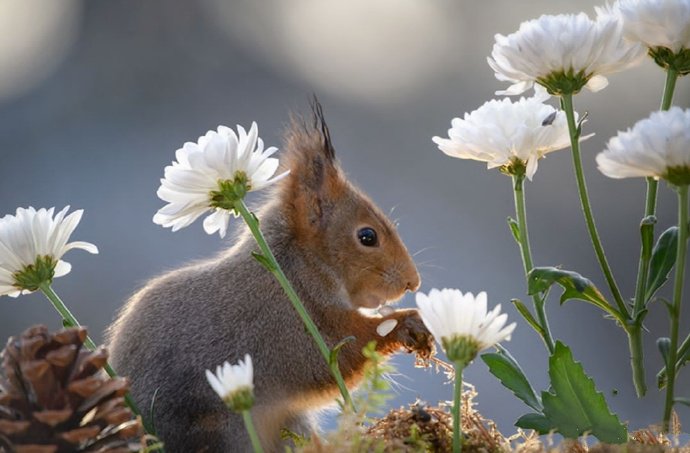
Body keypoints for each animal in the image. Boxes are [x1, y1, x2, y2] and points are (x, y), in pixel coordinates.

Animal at [106, 102, 430, 452]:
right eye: (367, 236)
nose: (412, 282)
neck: (298, 269)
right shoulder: (291, 325)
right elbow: (340, 355)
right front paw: (406, 323)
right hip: (229, 433)